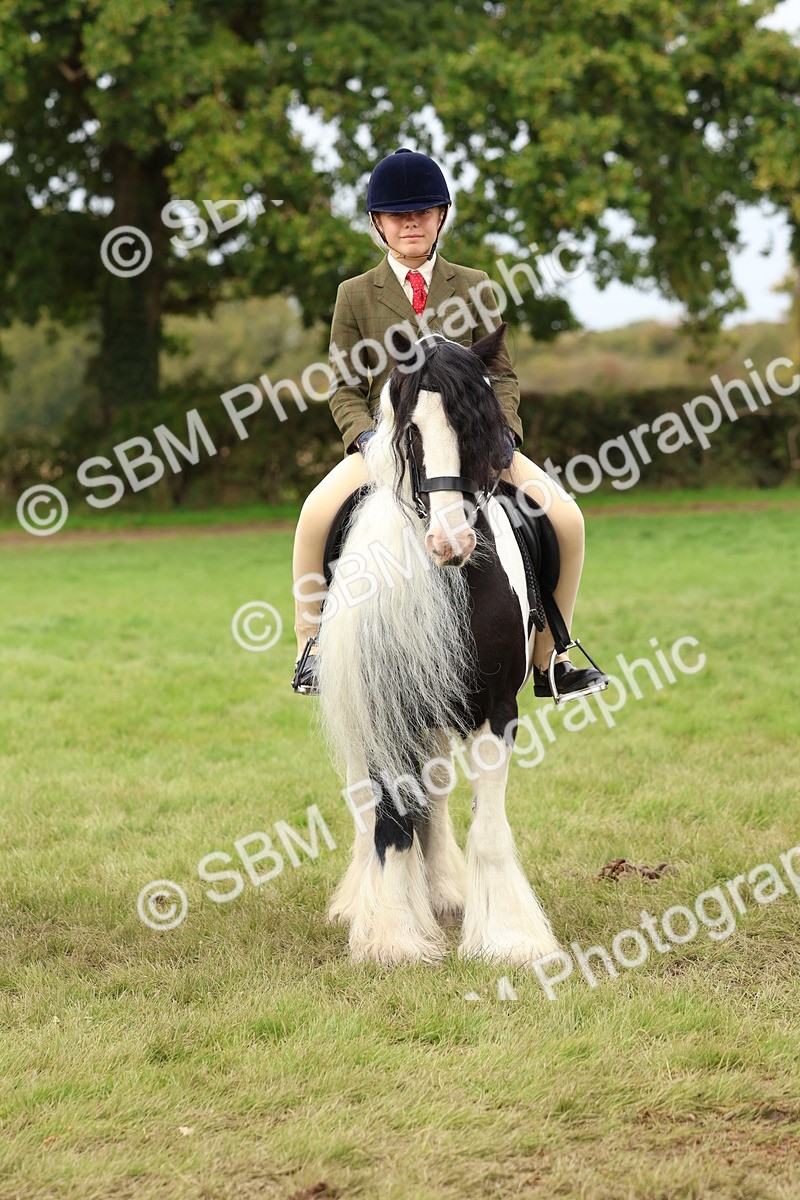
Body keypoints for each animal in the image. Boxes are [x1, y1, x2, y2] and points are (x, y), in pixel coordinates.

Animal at [317, 324, 562, 967]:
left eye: (480, 426)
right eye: (411, 431)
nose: (450, 543)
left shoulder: (497, 708)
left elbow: (488, 827)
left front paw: (508, 938)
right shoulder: (385, 708)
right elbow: (389, 822)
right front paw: (391, 936)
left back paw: (445, 892)